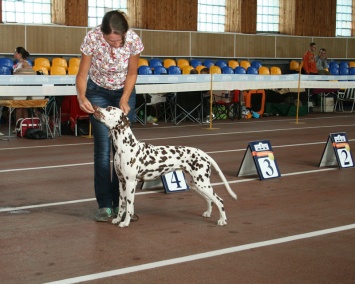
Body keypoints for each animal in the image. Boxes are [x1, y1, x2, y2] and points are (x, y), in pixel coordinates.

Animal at [92, 105, 238, 227]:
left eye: (110, 109)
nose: (95, 106)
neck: (125, 146)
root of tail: (203, 154)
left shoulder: (130, 183)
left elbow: (129, 206)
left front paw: (125, 222)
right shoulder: (122, 182)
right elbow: (122, 204)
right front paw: (117, 219)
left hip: (202, 183)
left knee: (219, 200)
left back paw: (222, 220)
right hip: (197, 184)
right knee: (210, 200)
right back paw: (208, 213)